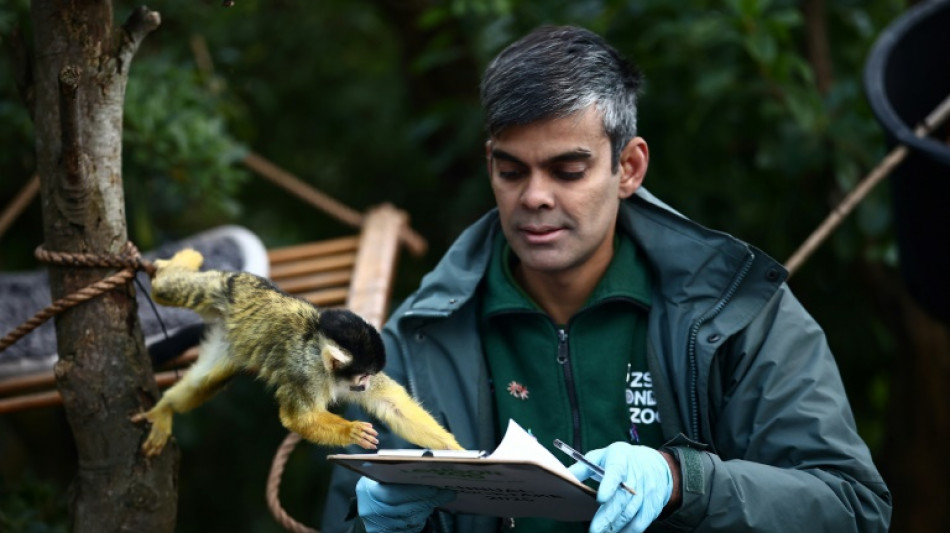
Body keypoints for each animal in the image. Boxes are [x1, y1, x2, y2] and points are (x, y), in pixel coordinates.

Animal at [131, 247, 464, 456]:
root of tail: (247, 279)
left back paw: (166, 408)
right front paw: (351, 432)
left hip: (230, 334)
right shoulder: (304, 375)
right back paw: (180, 261)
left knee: (207, 381)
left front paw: (456, 449)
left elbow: (391, 405)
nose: (365, 384)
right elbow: (297, 418)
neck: (323, 363)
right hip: (223, 287)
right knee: (165, 289)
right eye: (362, 376)